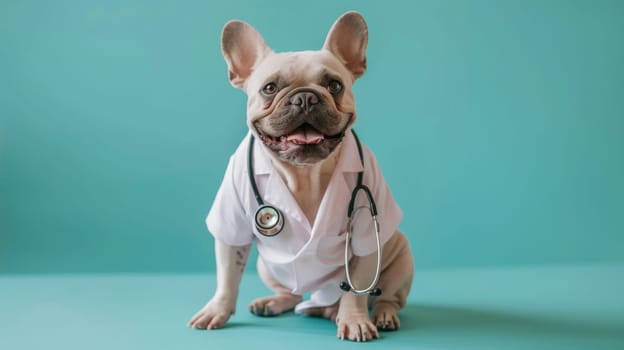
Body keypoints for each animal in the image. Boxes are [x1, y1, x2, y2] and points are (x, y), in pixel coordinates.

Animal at [190, 11, 414, 342]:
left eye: (334, 85)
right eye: (269, 88)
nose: (306, 98)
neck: (304, 173)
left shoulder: (365, 233)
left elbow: (356, 288)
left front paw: (355, 320)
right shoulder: (233, 225)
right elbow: (227, 276)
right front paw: (216, 309)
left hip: (400, 254)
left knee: (387, 297)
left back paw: (382, 314)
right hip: (268, 266)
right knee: (292, 294)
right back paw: (274, 302)